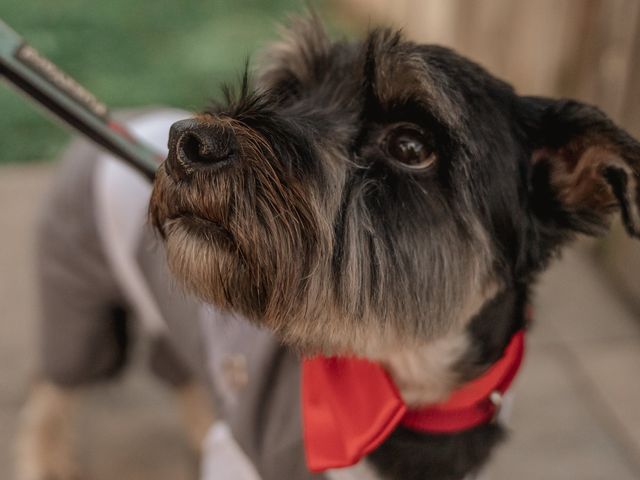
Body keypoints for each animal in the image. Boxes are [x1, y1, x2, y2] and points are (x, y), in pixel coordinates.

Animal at [16, 14, 640, 480]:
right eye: (290, 92)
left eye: (411, 145)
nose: (189, 141)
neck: (404, 387)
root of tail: (124, 115)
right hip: (75, 287)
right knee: (54, 386)